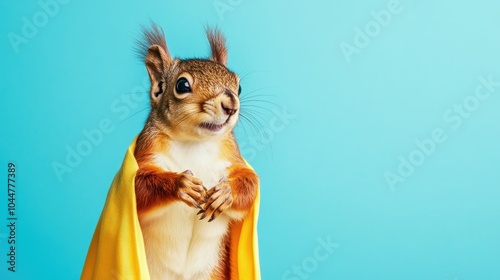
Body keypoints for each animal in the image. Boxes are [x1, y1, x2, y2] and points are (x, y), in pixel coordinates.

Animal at [134, 24, 258, 280]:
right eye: (182, 85)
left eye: (239, 86)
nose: (231, 105)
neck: (195, 142)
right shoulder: (146, 154)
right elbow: (140, 186)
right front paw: (181, 184)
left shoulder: (233, 158)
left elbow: (251, 183)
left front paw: (225, 194)